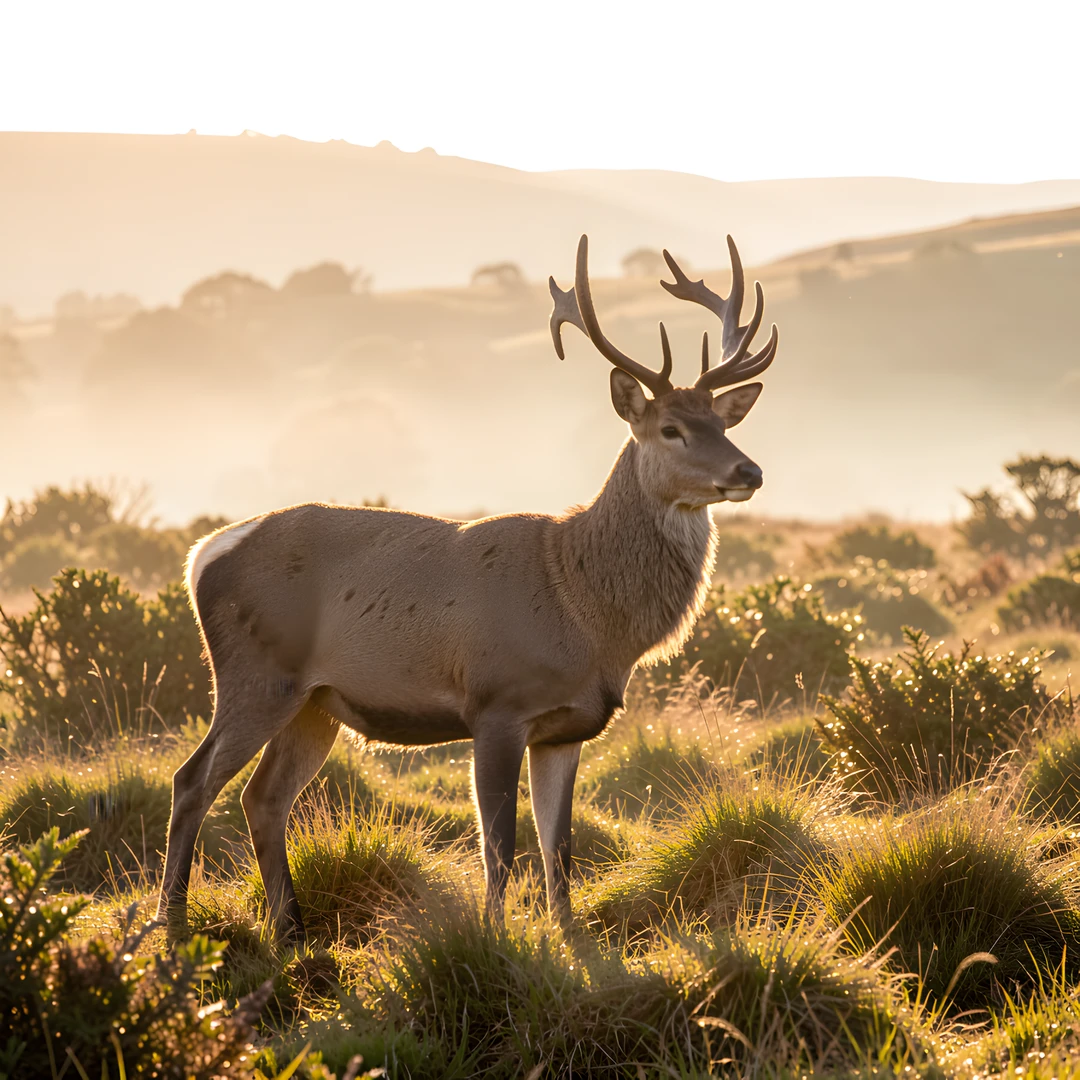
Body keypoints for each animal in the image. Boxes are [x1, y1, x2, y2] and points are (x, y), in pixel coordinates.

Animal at [156, 233, 779, 942]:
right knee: (191, 781)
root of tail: (203, 556)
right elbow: (499, 844)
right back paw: (172, 924)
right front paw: (491, 936)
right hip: (255, 674)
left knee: (263, 797)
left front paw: (571, 940)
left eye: (722, 424)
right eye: (671, 429)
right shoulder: (496, 703)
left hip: (315, 702)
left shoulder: (567, 727)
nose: (748, 471)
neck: (584, 610)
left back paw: (290, 930)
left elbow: (559, 848)